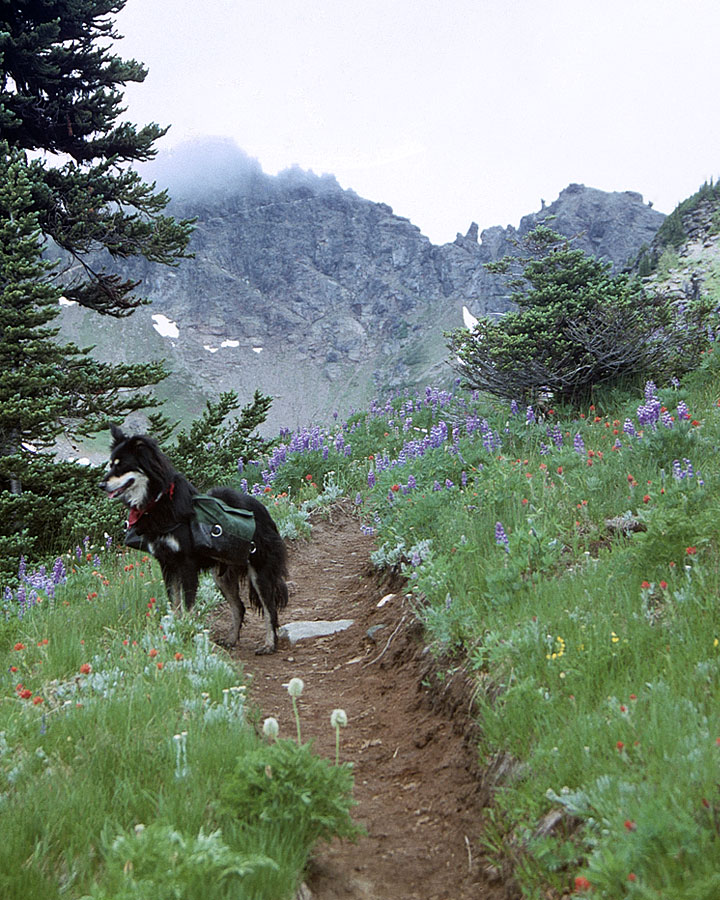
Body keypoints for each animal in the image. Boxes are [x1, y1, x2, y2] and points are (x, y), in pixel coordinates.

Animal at [99, 422, 290, 652]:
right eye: (110, 465)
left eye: (121, 466)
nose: (101, 485)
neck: (158, 501)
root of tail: (263, 510)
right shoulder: (167, 564)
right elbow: (174, 603)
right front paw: (174, 631)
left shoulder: (186, 564)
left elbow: (188, 604)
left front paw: (186, 631)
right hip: (222, 576)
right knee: (240, 607)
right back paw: (231, 640)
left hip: (259, 572)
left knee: (270, 610)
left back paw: (269, 644)